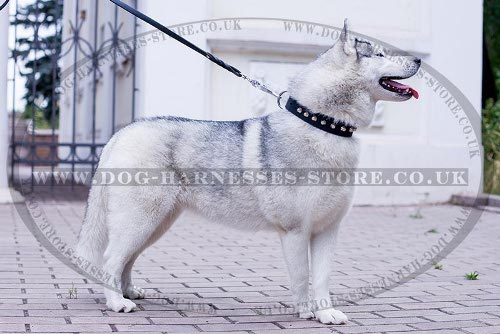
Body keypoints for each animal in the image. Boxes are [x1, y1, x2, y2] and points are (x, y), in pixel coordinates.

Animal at [76, 19, 420, 324]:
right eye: (380, 54)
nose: (418, 59)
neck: (322, 124)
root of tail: (123, 132)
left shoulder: (327, 229)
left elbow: (322, 277)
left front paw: (326, 313)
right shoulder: (295, 230)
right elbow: (302, 276)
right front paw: (306, 312)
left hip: (155, 224)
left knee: (127, 259)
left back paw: (129, 292)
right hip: (140, 220)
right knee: (111, 259)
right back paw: (117, 302)